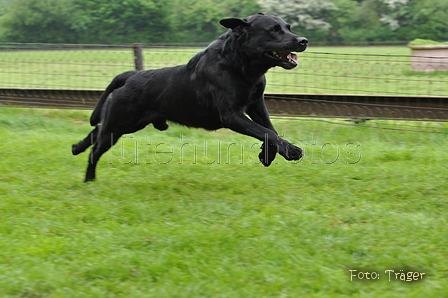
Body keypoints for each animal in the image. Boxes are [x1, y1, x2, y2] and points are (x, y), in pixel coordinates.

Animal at [72, 13, 308, 182]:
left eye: (288, 27)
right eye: (274, 30)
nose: (303, 40)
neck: (241, 66)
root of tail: (130, 75)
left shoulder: (256, 103)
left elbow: (270, 130)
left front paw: (267, 155)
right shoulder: (231, 115)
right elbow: (266, 132)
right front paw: (292, 150)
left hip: (126, 123)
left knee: (95, 131)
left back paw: (76, 147)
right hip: (120, 122)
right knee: (95, 150)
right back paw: (89, 180)